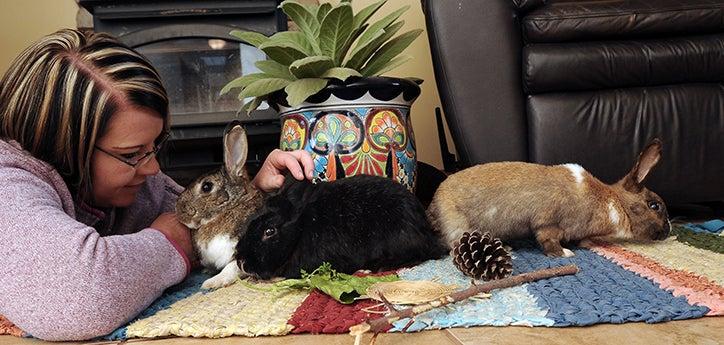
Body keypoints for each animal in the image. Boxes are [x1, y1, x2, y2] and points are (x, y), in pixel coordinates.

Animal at [175, 121, 264, 288]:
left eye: (206, 187)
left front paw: (212, 283)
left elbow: (231, 268)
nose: (178, 211)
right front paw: (207, 272)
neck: (231, 207)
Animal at [428, 139, 672, 255]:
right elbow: (548, 240)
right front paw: (564, 254)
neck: (615, 202)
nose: (669, 230)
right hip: (458, 228)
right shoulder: (549, 223)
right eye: (654, 206)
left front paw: (590, 244)